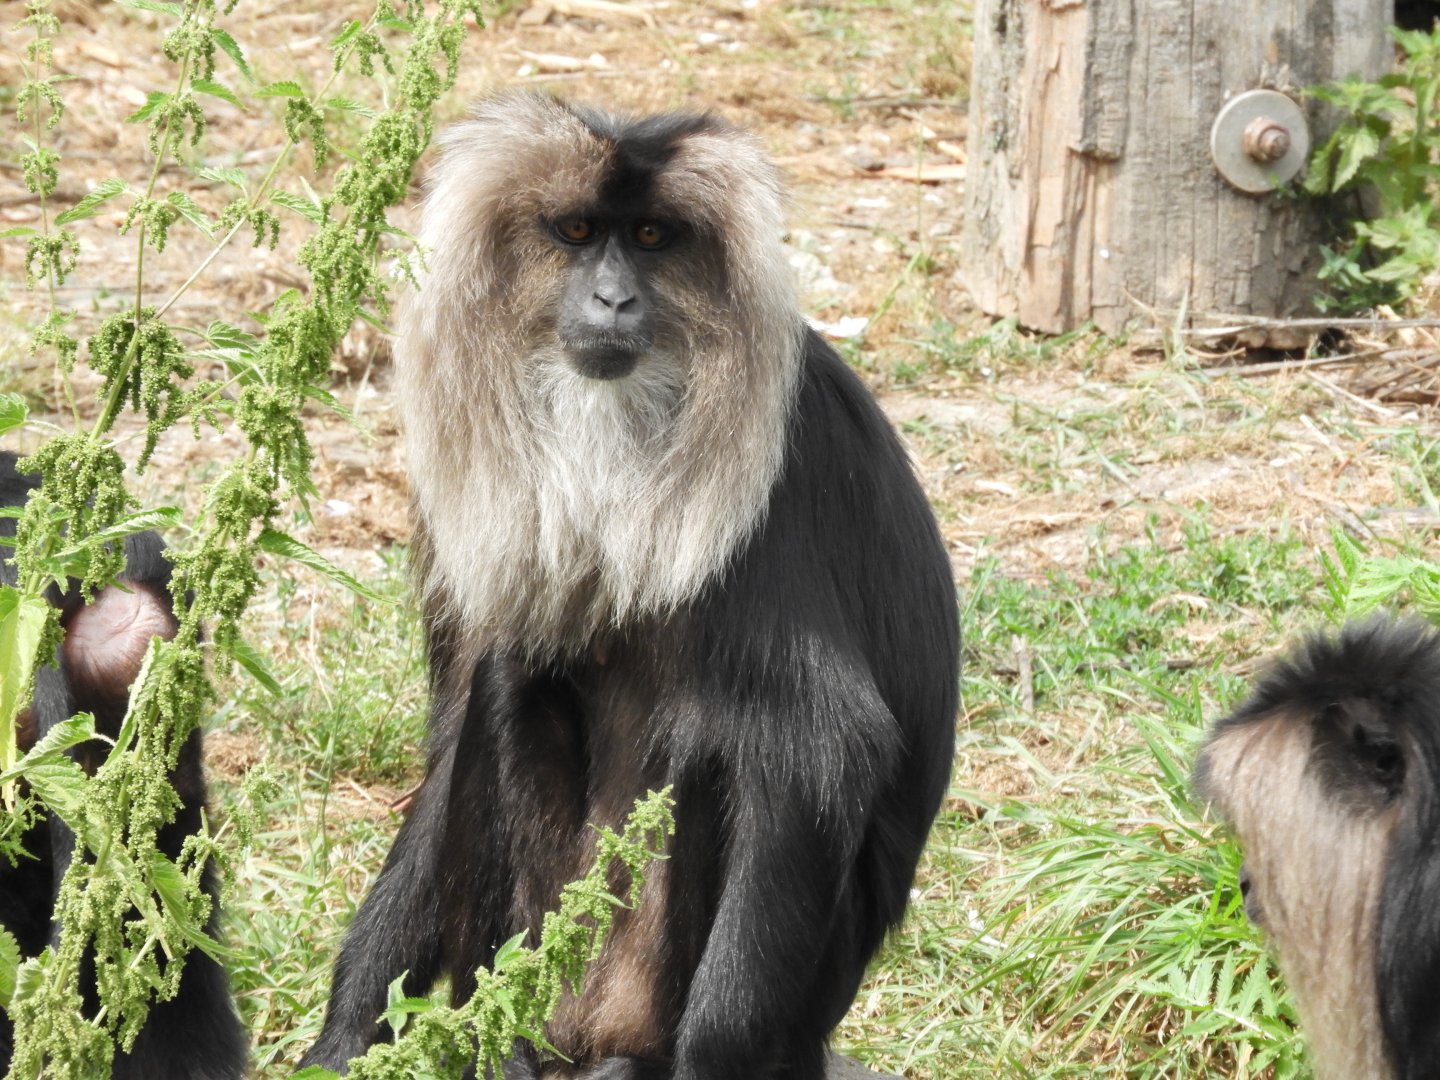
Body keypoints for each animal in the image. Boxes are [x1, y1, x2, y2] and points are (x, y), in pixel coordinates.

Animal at [300, 93, 960, 1079]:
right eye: (577, 233)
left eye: (652, 237)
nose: (614, 299)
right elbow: (452, 731)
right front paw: (343, 1038)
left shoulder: (775, 480)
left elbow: (818, 747)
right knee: (510, 674)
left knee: (709, 734)